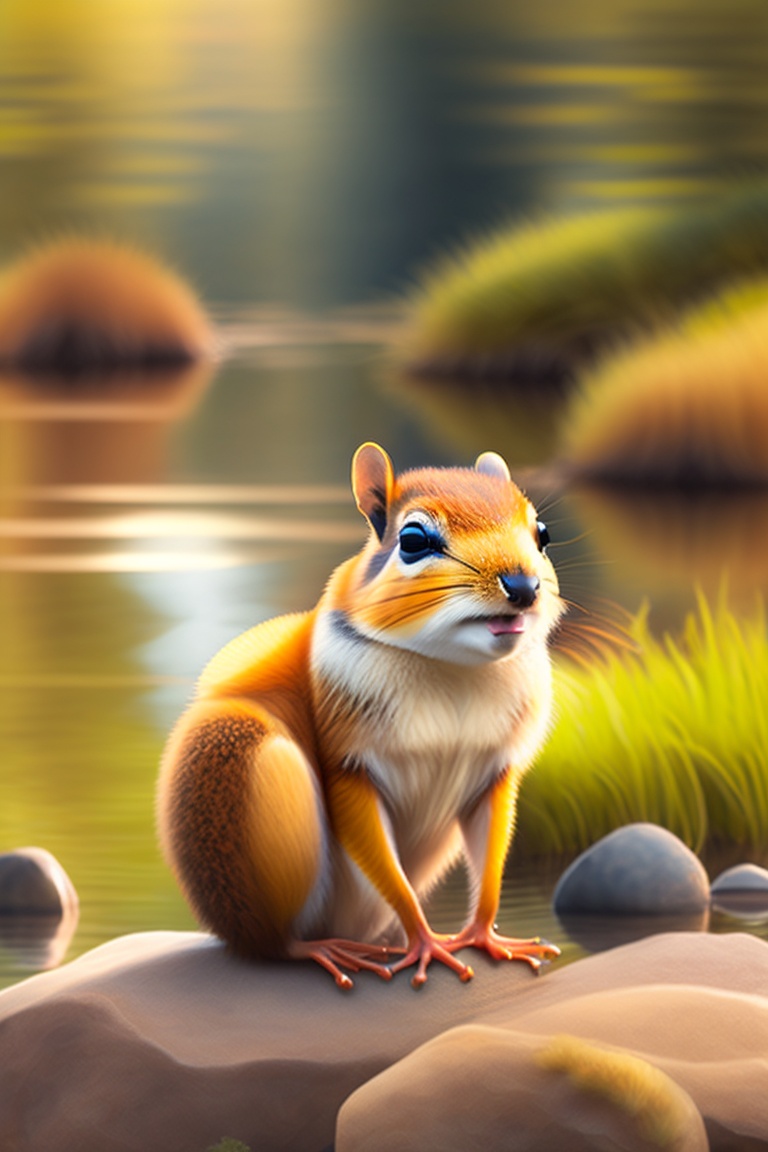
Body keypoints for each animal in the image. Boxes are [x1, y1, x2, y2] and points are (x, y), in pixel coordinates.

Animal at [157, 443, 565, 988]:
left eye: (542, 533)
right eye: (413, 540)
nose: (523, 586)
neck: (454, 669)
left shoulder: (496, 774)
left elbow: (491, 857)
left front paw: (484, 937)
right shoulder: (351, 765)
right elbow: (384, 863)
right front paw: (426, 943)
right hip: (242, 757)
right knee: (274, 944)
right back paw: (323, 949)